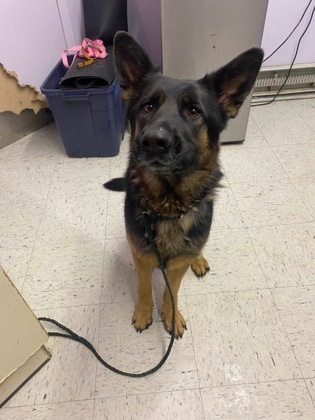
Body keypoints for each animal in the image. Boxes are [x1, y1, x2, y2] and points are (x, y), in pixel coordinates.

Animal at [106, 32, 264, 338]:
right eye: (148, 106)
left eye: (193, 112)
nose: (153, 141)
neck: (168, 205)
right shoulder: (142, 257)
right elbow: (144, 286)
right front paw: (144, 312)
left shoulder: (177, 265)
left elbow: (173, 291)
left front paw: (171, 315)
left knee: (196, 248)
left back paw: (198, 259)